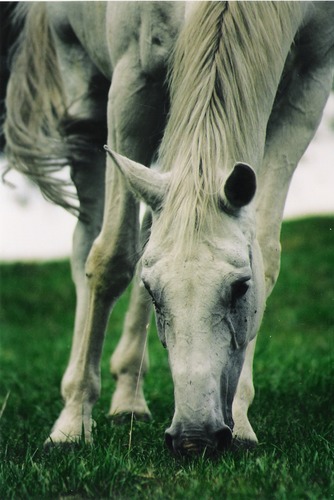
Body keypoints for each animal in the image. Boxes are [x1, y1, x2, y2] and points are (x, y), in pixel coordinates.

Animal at [3, 0, 334, 454]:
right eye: (152, 290)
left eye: (241, 288)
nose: (195, 438)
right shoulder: (132, 80)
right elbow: (110, 258)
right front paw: (72, 425)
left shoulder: (309, 85)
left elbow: (266, 253)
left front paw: (243, 422)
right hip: (84, 93)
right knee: (86, 244)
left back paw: (128, 396)